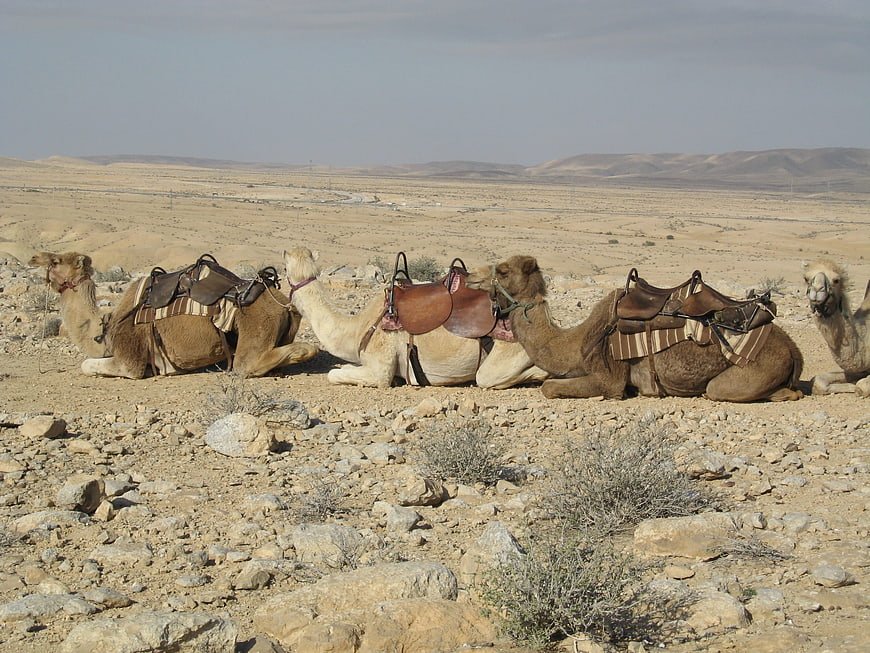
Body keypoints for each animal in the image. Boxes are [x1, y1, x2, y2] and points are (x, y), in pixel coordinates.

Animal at [30, 251, 317, 378]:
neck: (105, 327)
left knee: (248, 364)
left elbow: (87, 365)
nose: (34, 258)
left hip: (255, 327)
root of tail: (284, 303)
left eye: (55, 261)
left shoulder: (130, 361)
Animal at [281, 247, 548, 388]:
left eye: (284, 269)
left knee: (490, 376)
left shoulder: (380, 367)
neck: (359, 327)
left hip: (505, 356)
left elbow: (334, 373)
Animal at [468, 256, 803, 402]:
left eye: (503, 270)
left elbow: (549, 387)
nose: (470, 275)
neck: (575, 341)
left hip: (748, 372)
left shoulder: (609, 376)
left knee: (723, 390)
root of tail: (793, 348)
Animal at [802, 259, 870, 397]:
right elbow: (817, 380)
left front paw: (855, 387)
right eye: (806, 278)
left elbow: (861, 386)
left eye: (836, 280)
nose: (817, 289)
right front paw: (851, 385)